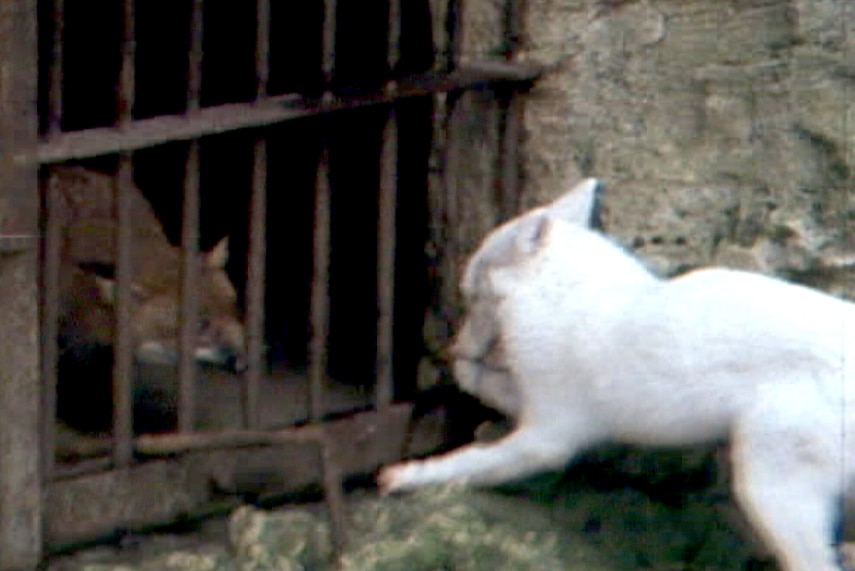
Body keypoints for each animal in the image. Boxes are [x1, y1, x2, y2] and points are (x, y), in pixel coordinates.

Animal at [382, 181, 855, 571]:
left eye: (471, 292)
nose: (454, 346)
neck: (562, 290)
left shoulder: (549, 432)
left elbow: (475, 460)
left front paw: (407, 476)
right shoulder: (549, 406)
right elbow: (493, 388)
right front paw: (465, 370)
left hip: (771, 483)